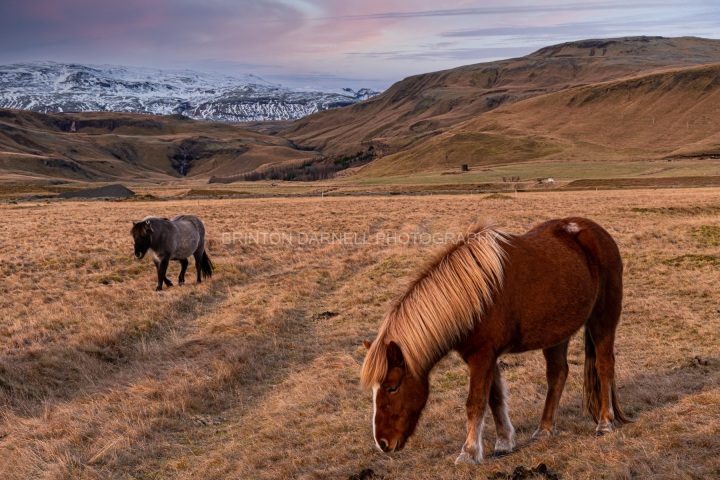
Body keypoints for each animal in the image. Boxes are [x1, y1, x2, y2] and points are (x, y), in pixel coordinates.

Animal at [361, 217, 629, 464]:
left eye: (392, 387)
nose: (382, 443)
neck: (474, 295)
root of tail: (595, 231)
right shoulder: (486, 357)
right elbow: (495, 398)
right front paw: (504, 442)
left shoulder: (482, 356)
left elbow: (476, 403)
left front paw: (469, 452)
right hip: (557, 332)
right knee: (557, 374)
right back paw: (544, 429)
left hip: (603, 320)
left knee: (604, 366)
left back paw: (605, 422)